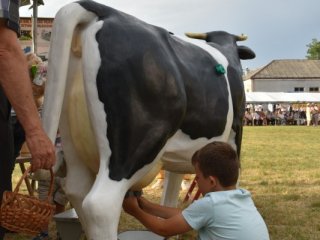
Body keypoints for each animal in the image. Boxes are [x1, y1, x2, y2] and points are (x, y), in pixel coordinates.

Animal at [42, 0, 255, 239]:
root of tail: (106, 11)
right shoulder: (236, 132)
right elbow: (233, 178)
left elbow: (170, 193)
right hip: (136, 140)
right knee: (100, 204)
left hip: (71, 136)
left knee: (77, 190)